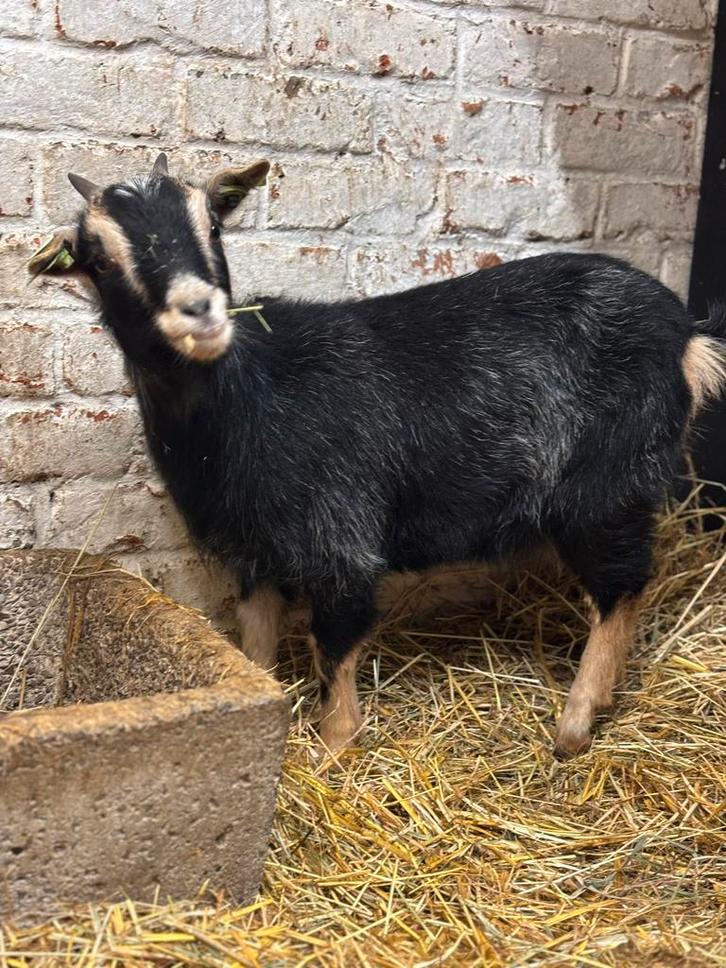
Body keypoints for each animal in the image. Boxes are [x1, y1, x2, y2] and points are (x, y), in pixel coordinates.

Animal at [29, 153, 726, 757]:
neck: (250, 397)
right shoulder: (251, 548)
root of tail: (686, 335)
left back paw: (575, 726)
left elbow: (335, 648)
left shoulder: (342, 542)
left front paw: (334, 748)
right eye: (97, 258)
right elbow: (256, 642)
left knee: (624, 586)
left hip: (605, 488)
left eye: (213, 224)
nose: (199, 311)